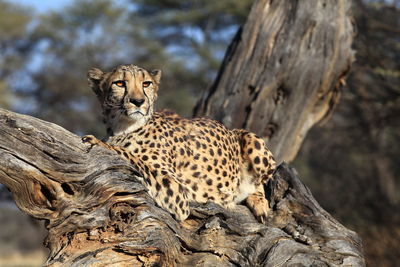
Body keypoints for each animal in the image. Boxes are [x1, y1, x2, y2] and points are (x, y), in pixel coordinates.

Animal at [83, 64, 276, 224]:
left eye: (146, 84)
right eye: (120, 83)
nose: (138, 101)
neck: (121, 127)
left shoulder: (176, 190)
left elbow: (129, 155)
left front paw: (96, 141)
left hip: (251, 138)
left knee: (259, 182)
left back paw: (259, 202)